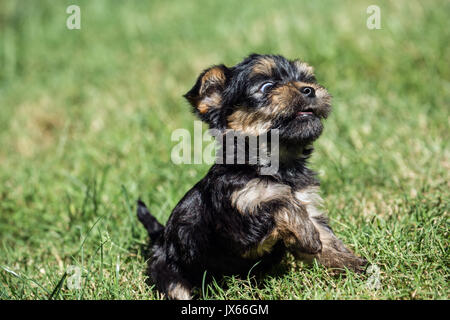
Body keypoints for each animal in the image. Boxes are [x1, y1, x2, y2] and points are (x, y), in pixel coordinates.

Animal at [136, 53, 366, 300]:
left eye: (308, 79)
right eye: (267, 86)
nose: (309, 89)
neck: (279, 167)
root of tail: (160, 239)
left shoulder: (306, 202)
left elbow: (325, 238)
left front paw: (354, 266)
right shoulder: (240, 222)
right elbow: (280, 202)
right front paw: (308, 236)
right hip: (168, 272)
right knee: (177, 288)